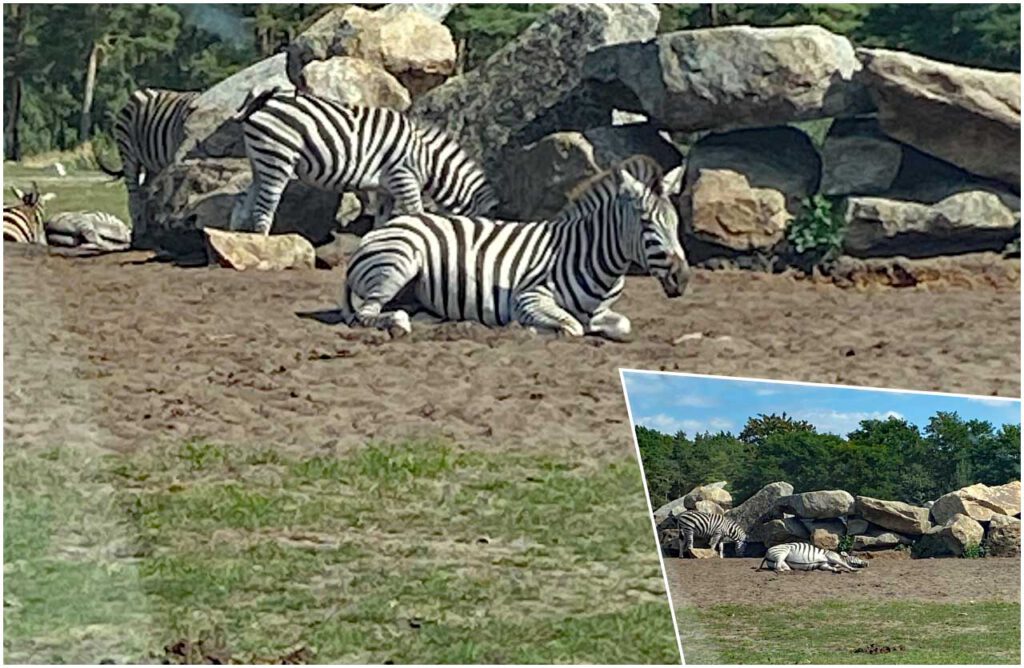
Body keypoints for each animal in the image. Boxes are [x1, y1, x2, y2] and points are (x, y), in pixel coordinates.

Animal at [98, 88, 200, 238]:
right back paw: (139, 233)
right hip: (128, 152)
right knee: (133, 196)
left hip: (152, 166)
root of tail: (144, 91)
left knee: (145, 191)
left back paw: (150, 229)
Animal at [228, 87, 498, 235]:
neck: (426, 160)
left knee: (243, 204)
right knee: (265, 206)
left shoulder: (385, 189)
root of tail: (267, 97)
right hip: (278, 157)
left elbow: (381, 221)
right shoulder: (403, 177)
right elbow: (416, 213)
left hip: (259, 159)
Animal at [338, 155, 690, 339]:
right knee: (367, 314)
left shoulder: (603, 311)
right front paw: (532, 329)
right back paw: (398, 323)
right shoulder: (528, 297)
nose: (683, 278)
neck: (591, 254)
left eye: (675, 223)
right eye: (646, 223)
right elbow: (572, 326)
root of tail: (387, 227)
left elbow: (621, 325)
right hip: (399, 262)